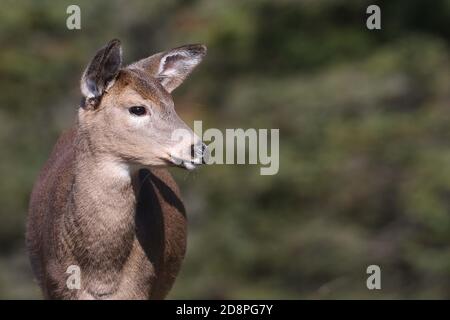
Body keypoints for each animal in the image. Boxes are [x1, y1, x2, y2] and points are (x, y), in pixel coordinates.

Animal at [25, 40, 207, 300]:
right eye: (138, 109)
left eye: (172, 105)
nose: (199, 149)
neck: (102, 278)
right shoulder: (56, 286)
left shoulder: (142, 287)